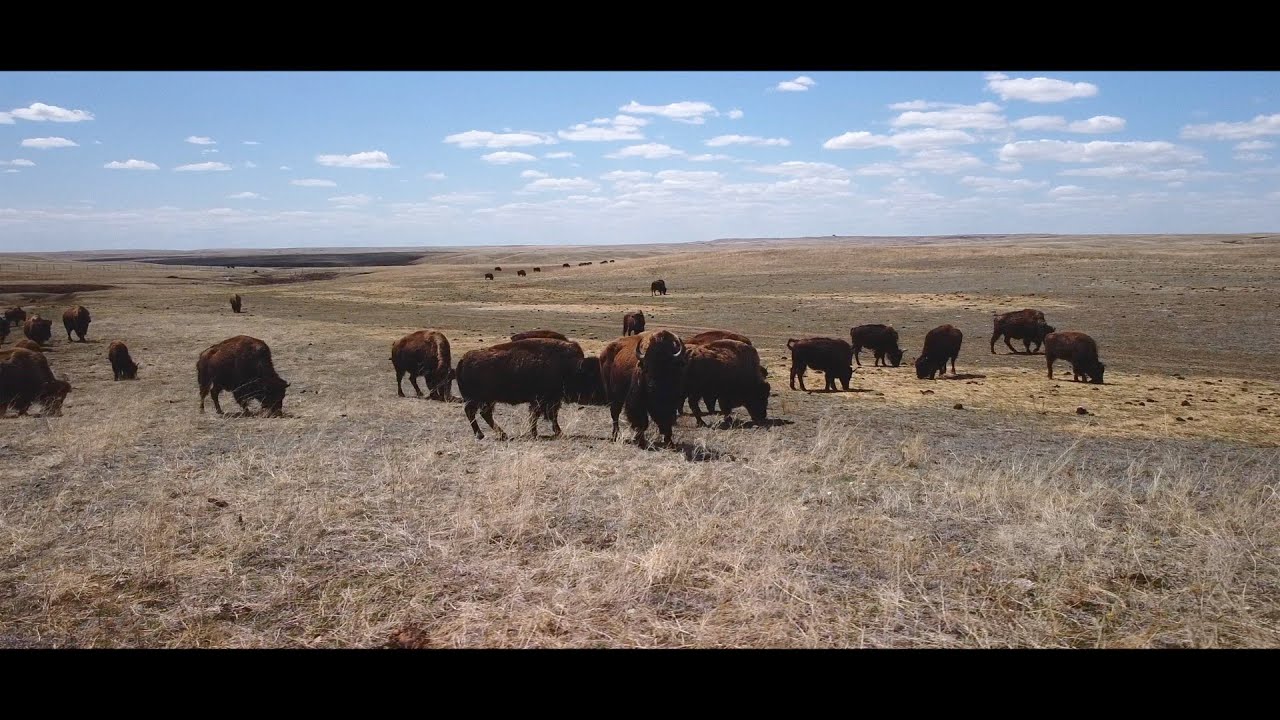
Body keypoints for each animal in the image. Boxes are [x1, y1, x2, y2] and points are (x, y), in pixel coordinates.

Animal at [455, 338, 590, 440]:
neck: (570, 366)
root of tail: (463, 359)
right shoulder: (544, 400)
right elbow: (545, 415)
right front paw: (547, 433)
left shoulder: (546, 401)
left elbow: (544, 415)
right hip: (481, 399)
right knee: (476, 412)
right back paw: (486, 435)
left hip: (484, 400)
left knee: (481, 413)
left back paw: (496, 435)